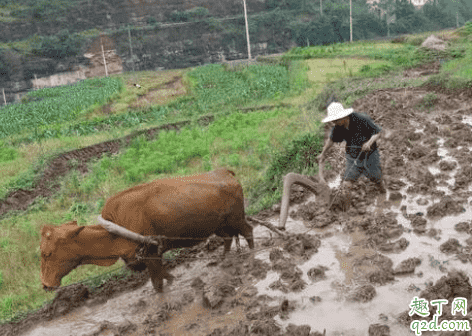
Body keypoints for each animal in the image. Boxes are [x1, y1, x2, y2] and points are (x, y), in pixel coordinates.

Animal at [40, 169, 254, 292]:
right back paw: (224, 259)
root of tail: (223, 171)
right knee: (228, 239)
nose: (45, 285)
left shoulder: (151, 254)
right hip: (219, 226)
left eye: (46, 253)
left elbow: (158, 285)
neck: (116, 230)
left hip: (237, 219)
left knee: (249, 232)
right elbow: (165, 277)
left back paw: (253, 255)